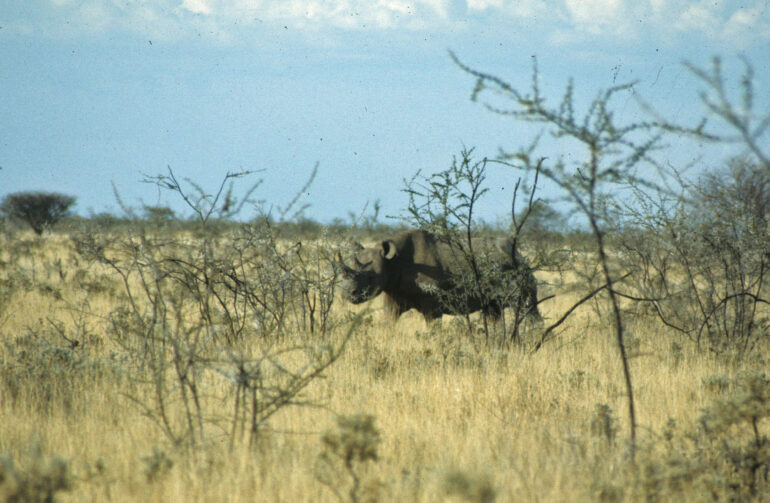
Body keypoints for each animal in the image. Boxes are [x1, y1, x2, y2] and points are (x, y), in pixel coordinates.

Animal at [337, 229, 540, 322]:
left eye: (371, 278)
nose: (348, 295)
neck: (393, 261)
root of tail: (518, 254)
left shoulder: (432, 304)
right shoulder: (393, 293)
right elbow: (389, 320)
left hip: (518, 271)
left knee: (526, 308)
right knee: (493, 310)